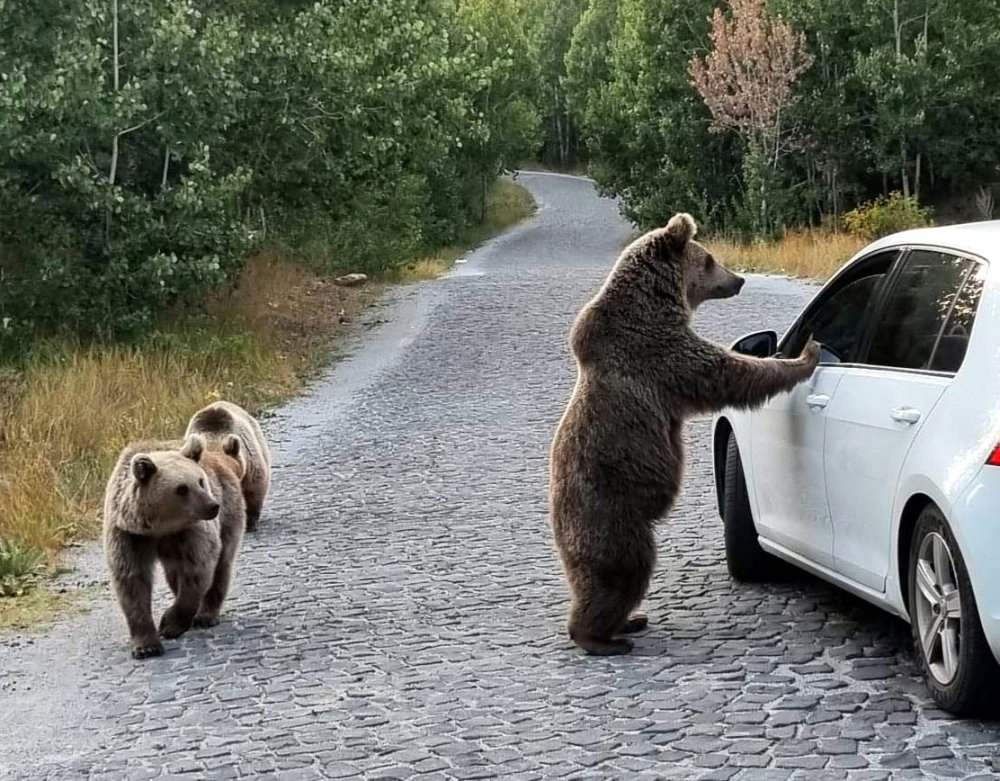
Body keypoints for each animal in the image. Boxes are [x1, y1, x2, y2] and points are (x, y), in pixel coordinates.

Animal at [548, 212, 820, 652]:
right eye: (708, 258)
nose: (738, 279)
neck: (655, 303)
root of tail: (559, 528)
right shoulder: (661, 354)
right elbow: (726, 372)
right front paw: (804, 356)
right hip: (613, 514)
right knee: (625, 567)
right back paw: (601, 636)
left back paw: (628, 621)